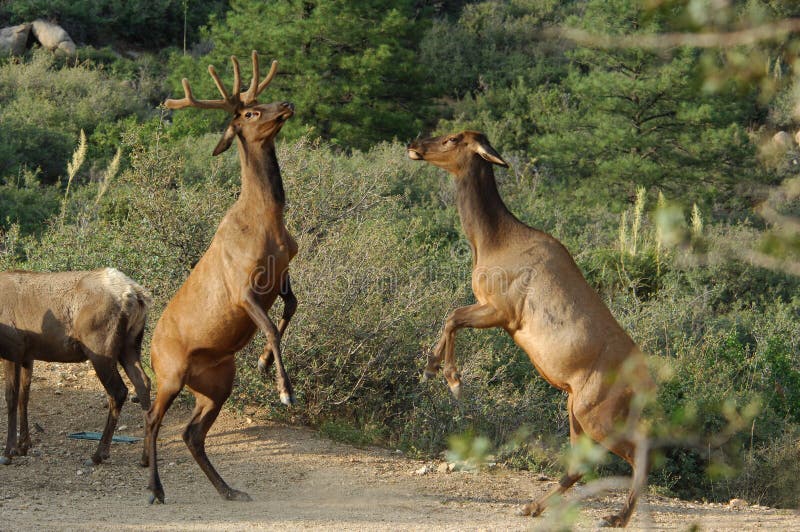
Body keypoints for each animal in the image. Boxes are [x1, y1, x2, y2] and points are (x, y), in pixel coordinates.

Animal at [0, 270, 152, 466]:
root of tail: (136, 295)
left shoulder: (13, 348)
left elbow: (10, 397)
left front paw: (9, 451)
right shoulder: (28, 355)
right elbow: (23, 397)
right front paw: (23, 446)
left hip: (100, 347)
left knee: (119, 391)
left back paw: (98, 454)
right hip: (130, 344)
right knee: (143, 383)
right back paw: (145, 457)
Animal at [145, 52, 296, 504]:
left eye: (261, 101)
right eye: (249, 112)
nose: (286, 104)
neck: (268, 224)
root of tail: (150, 348)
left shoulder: (283, 272)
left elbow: (291, 309)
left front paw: (264, 364)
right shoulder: (241, 285)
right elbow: (273, 328)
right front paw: (285, 390)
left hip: (215, 382)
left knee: (192, 433)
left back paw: (229, 490)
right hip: (170, 372)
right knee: (153, 419)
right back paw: (155, 489)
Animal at [406, 131, 656, 524]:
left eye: (452, 139)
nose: (415, 144)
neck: (487, 242)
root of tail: (646, 382)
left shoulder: (503, 310)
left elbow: (453, 316)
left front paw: (452, 379)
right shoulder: (494, 310)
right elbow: (450, 317)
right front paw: (432, 367)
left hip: (597, 410)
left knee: (638, 451)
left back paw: (617, 517)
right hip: (577, 405)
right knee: (583, 462)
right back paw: (535, 505)